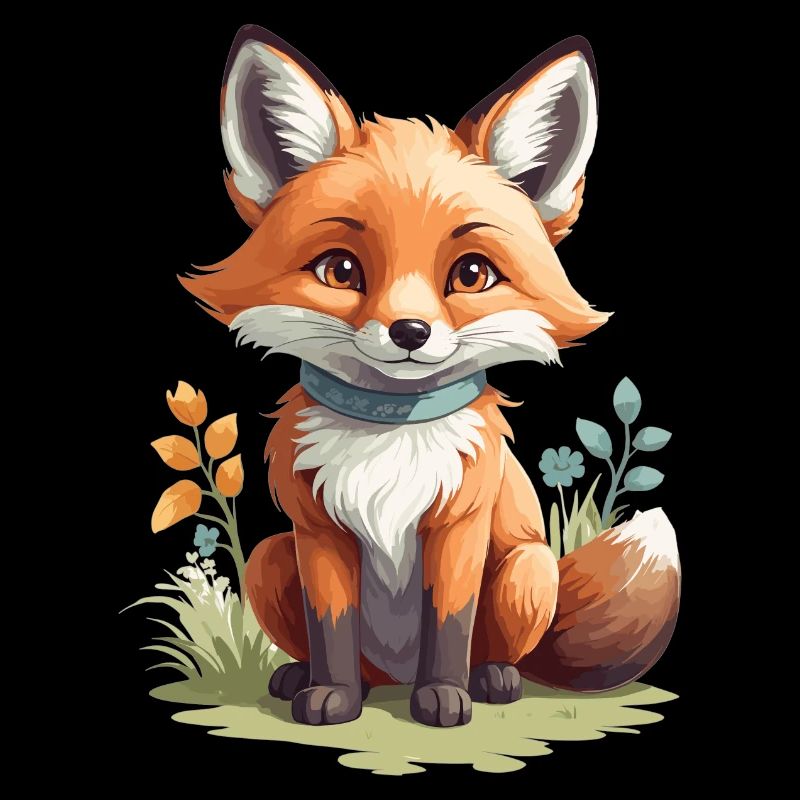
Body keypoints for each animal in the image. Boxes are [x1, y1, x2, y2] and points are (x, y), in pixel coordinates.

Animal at [180, 24, 681, 727]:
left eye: (471, 274)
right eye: (340, 270)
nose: (409, 332)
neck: (389, 435)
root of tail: (392, 673)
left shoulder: (458, 528)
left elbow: (450, 623)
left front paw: (443, 696)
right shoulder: (320, 533)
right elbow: (332, 628)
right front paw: (332, 697)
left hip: (528, 570)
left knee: (502, 650)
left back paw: (492, 679)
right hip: (270, 557)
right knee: (351, 658)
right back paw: (311, 679)